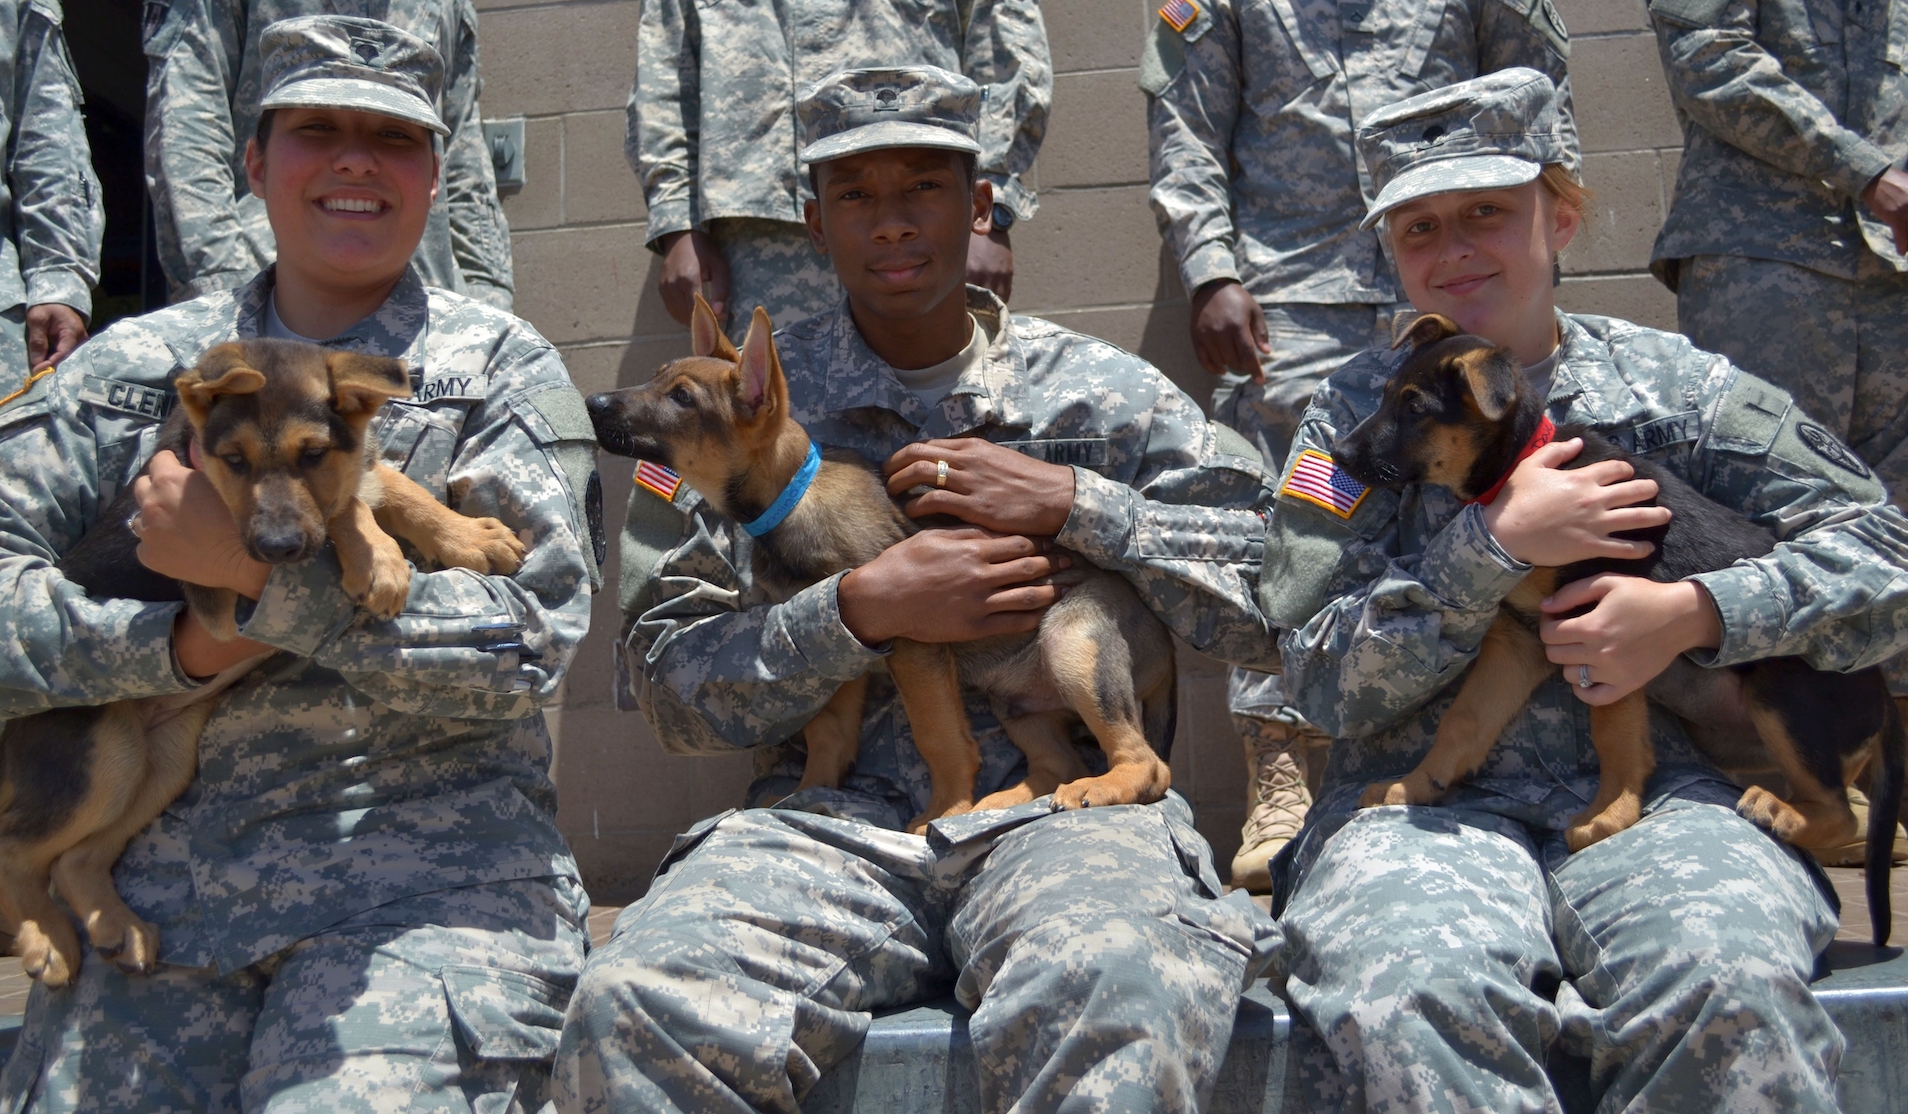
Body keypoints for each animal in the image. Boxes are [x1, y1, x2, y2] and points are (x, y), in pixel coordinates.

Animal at [0, 339, 530, 984]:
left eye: (314, 453)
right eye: (233, 461)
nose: (277, 549)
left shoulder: (346, 466)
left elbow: (383, 481)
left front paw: (469, 535)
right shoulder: (213, 574)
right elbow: (345, 508)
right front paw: (379, 558)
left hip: (159, 759)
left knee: (74, 859)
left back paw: (117, 928)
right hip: (98, 752)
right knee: (16, 851)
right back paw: (46, 939)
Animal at [587, 295, 1167, 835]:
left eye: (682, 397)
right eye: (657, 377)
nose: (592, 402)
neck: (793, 499)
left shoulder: (914, 642)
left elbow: (939, 736)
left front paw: (943, 811)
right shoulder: (837, 644)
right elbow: (827, 732)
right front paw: (805, 796)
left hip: (1073, 644)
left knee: (1150, 766)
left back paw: (1093, 787)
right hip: (1018, 700)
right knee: (1057, 762)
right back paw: (1000, 802)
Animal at [1335, 310, 1900, 938]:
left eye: (1415, 407)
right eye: (1387, 394)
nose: (1338, 452)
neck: (1522, 466)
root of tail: (1885, 696)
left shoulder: (1605, 627)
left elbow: (1612, 728)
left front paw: (1611, 814)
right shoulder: (1519, 639)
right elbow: (1464, 720)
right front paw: (1415, 786)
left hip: (1782, 694)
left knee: (1842, 814)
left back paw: (1779, 810)